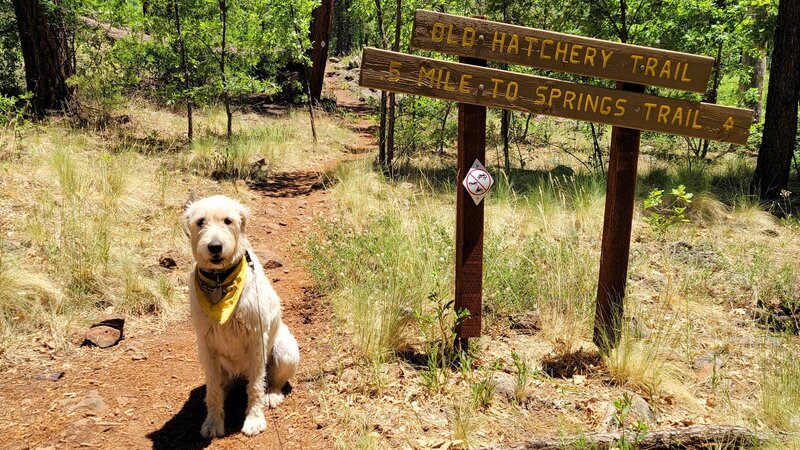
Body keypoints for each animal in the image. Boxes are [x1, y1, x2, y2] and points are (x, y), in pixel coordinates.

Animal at [183, 195, 302, 438]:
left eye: (228, 220)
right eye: (200, 221)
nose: (215, 247)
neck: (220, 281)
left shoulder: (256, 340)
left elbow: (255, 387)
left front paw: (254, 419)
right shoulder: (206, 345)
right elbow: (213, 391)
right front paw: (213, 422)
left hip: (285, 351)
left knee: (271, 380)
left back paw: (271, 395)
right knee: (221, 385)